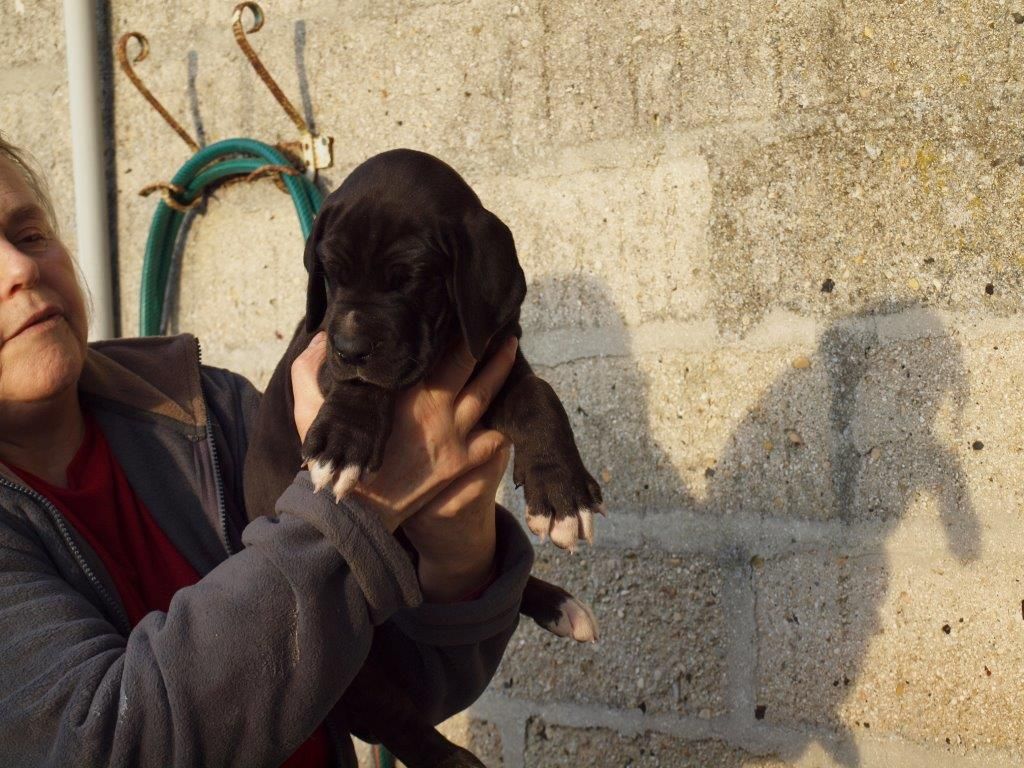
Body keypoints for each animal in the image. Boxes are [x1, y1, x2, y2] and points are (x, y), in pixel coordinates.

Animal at [244, 147, 602, 765]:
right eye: (331, 274)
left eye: (408, 280)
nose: (350, 347)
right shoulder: (319, 350)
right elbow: (362, 385)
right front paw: (344, 439)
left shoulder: (497, 361)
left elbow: (541, 397)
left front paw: (562, 494)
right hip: (354, 671)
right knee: (395, 719)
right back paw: (453, 760)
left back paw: (561, 606)